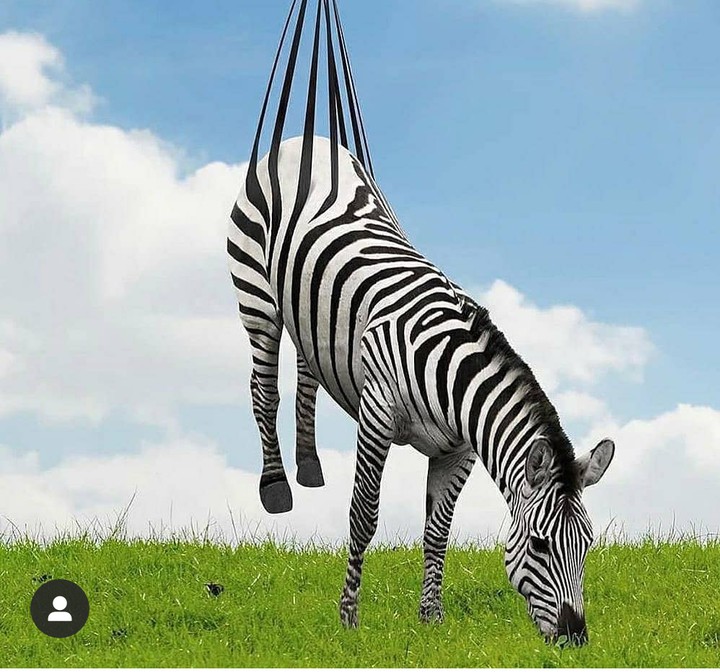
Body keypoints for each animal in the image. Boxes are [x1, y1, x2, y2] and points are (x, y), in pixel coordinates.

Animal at [227, 135, 615, 644]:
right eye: (538, 545)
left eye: (587, 545)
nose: (575, 639)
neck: (451, 375)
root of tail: (303, 140)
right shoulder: (376, 415)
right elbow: (364, 515)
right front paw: (348, 617)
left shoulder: (458, 451)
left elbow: (437, 530)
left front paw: (431, 617)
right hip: (256, 294)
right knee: (263, 388)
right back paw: (276, 486)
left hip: (310, 314)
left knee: (306, 377)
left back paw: (309, 466)